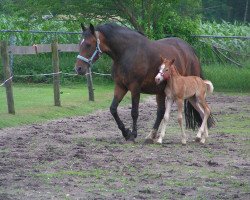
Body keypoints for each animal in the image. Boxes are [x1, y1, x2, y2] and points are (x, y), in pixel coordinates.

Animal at [74, 23, 213, 142]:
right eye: (80, 44)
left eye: (88, 44)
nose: (78, 68)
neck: (126, 52)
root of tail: (190, 50)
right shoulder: (120, 87)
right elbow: (113, 109)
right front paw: (126, 132)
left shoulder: (135, 88)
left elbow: (134, 112)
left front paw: (132, 134)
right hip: (162, 92)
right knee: (161, 112)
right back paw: (152, 135)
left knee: (201, 110)